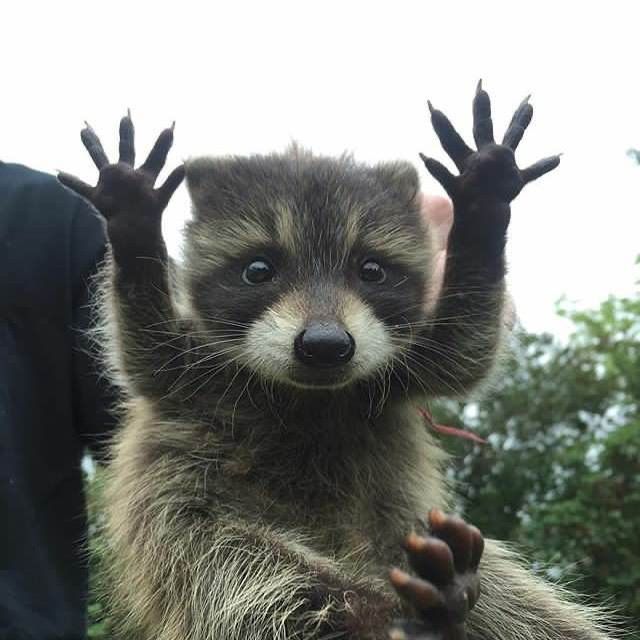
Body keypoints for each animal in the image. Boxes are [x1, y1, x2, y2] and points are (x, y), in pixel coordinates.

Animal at [58, 84, 608, 640]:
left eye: (371, 270)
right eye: (259, 270)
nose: (325, 345)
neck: (311, 396)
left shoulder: (397, 373)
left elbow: (464, 349)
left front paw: (482, 213)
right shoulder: (195, 379)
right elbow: (145, 349)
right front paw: (134, 230)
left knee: (530, 613)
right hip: (202, 535)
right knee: (272, 588)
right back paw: (407, 614)